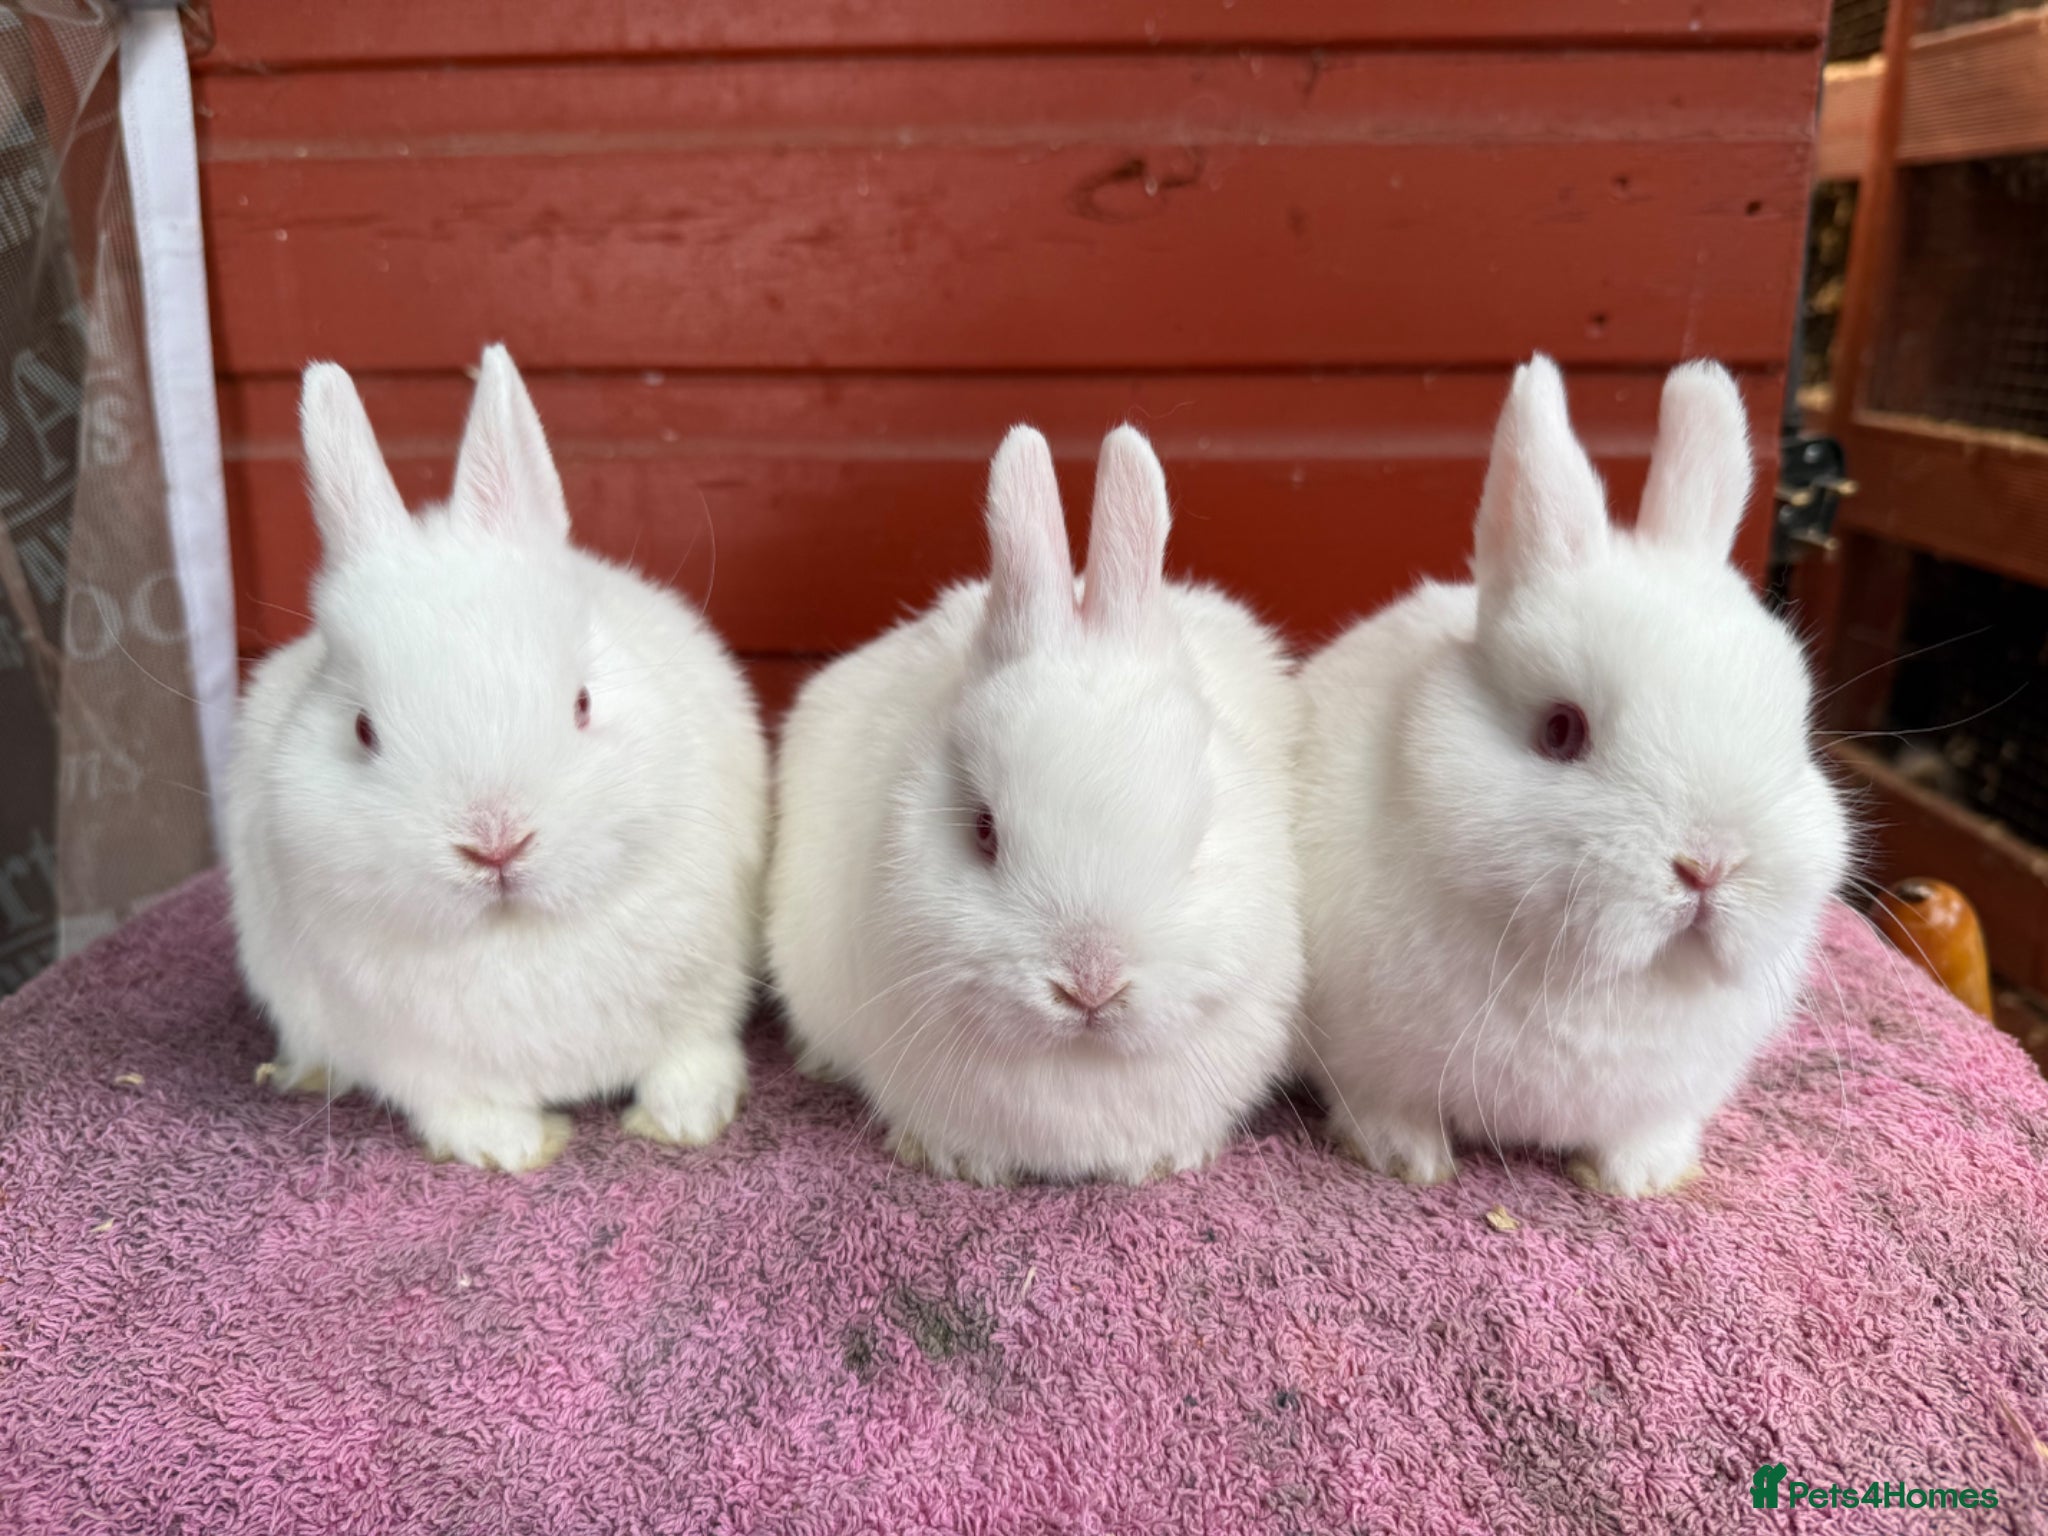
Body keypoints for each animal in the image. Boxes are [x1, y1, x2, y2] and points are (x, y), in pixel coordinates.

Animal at [223, 345, 770, 1172]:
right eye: (362, 729)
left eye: (582, 703)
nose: (496, 843)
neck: (517, 936)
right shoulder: (416, 1057)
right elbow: (460, 1105)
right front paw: (516, 1147)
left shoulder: (704, 994)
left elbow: (692, 1055)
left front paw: (684, 1120)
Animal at [1293, 355, 1850, 1197]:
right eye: (1561, 731)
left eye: (1793, 733)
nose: (1708, 865)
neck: (1598, 981)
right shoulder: (1361, 1058)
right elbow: (1381, 1104)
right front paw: (1406, 1159)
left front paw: (1641, 1178)